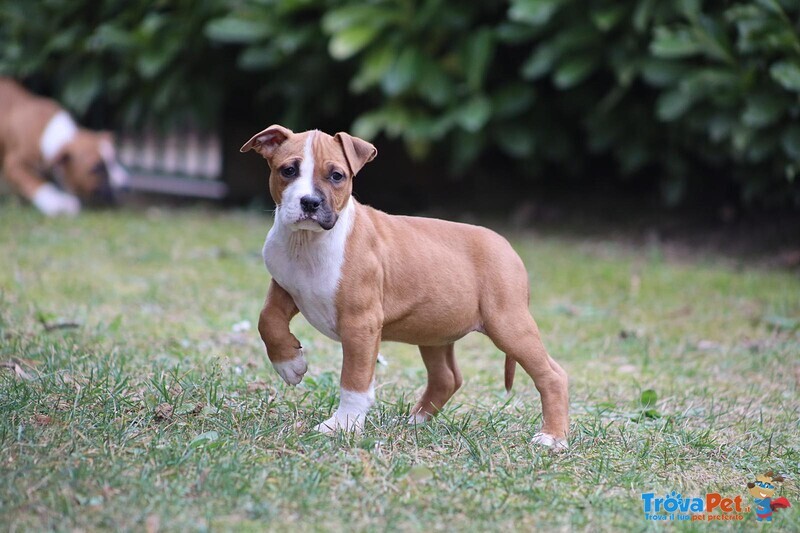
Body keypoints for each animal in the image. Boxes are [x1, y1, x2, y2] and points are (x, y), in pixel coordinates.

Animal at [0, 77, 128, 214]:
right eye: (96, 168)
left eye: (114, 159)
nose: (125, 187)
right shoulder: (14, 164)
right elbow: (36, 182)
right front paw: (54, 202)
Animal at [242, 124, 568, 448]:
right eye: (288, 171)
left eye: (336, 176)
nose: (309, 202)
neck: (307, 242)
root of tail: (507, 245)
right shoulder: (286, 288)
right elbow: (267, 320)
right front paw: (290, 364)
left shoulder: (360, 324)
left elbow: (354, 380)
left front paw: (342, 425)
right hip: (435, 332)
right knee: (446, 378)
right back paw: (415, 421)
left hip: (508, 324)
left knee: (553, 375)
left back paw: (552, 437)